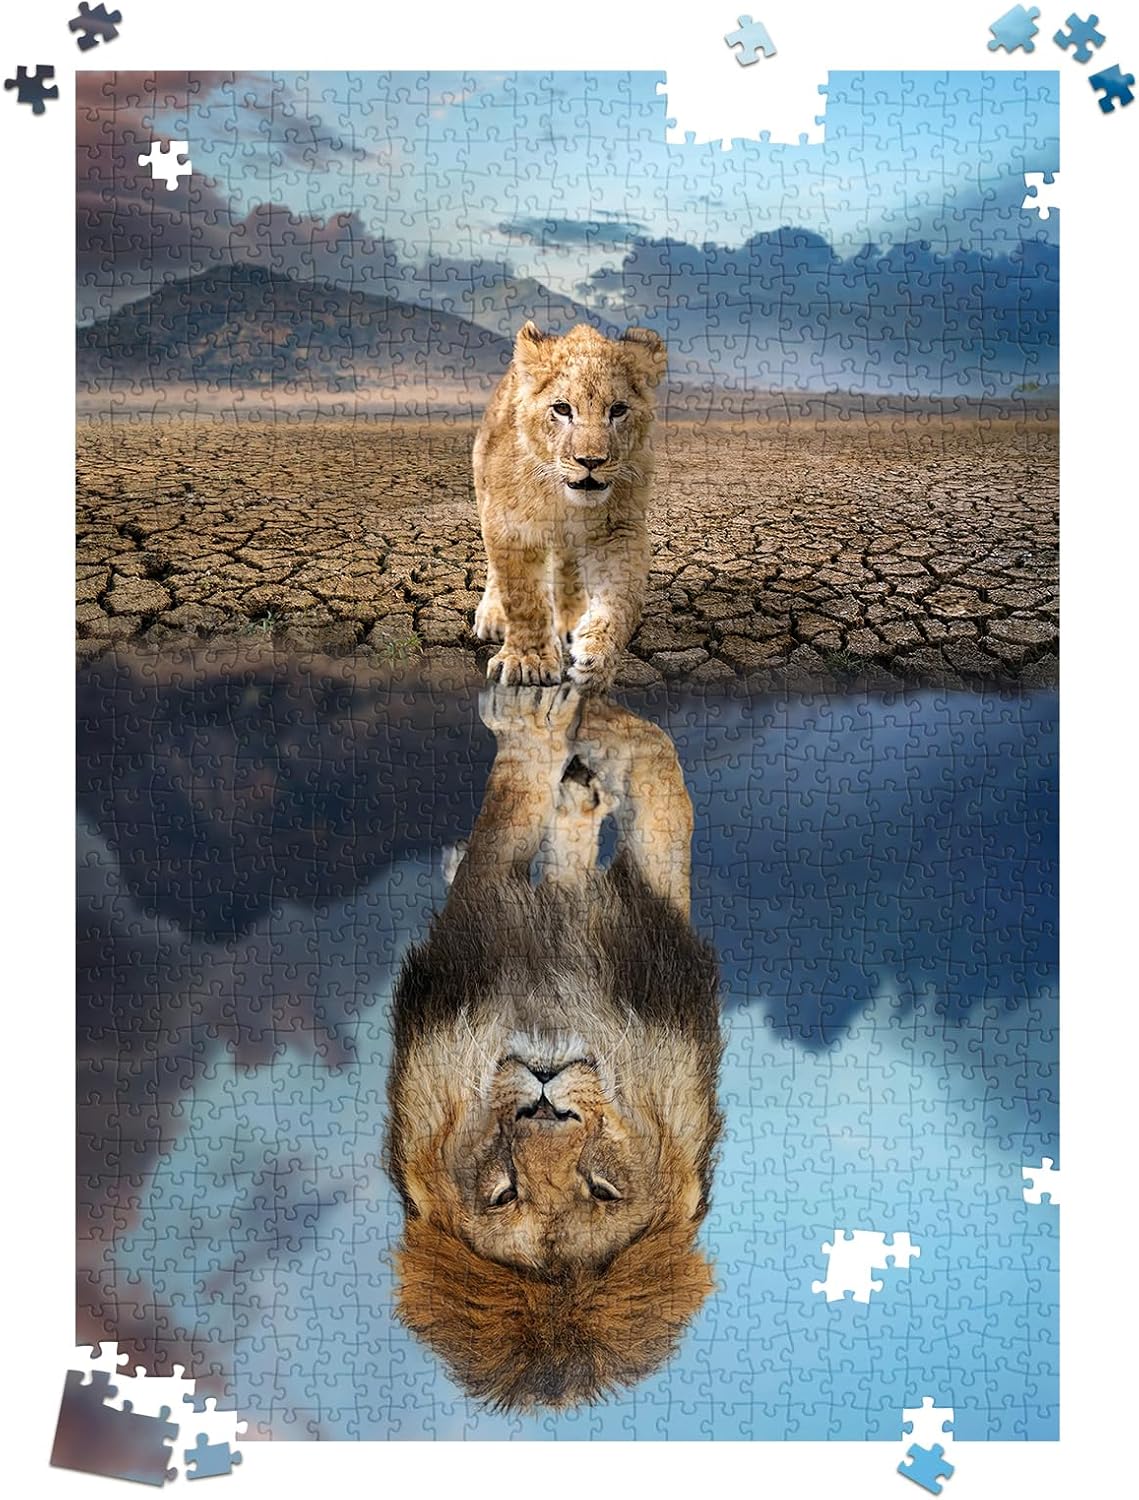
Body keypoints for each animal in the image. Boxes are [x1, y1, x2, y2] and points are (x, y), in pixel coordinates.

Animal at [385, 686, 723, 1409]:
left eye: (600, 1189)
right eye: (503, 1195)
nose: (544, 1105)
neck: (551, 1004)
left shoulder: (652, 947)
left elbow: (654, 789)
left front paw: (559, 727)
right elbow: (651, 783)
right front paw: (561, 727)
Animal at [472, 321, 667, 691]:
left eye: (617, 409)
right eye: (562, 409)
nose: (590, 461)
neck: (565, 500)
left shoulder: (619, 530)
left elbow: (621, 600)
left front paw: (596, 658)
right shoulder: (511, 527)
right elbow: (523, 598)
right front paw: (528, 662)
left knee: (569, 564)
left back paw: (571, 622)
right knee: (495, 571)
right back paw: (492, 617)